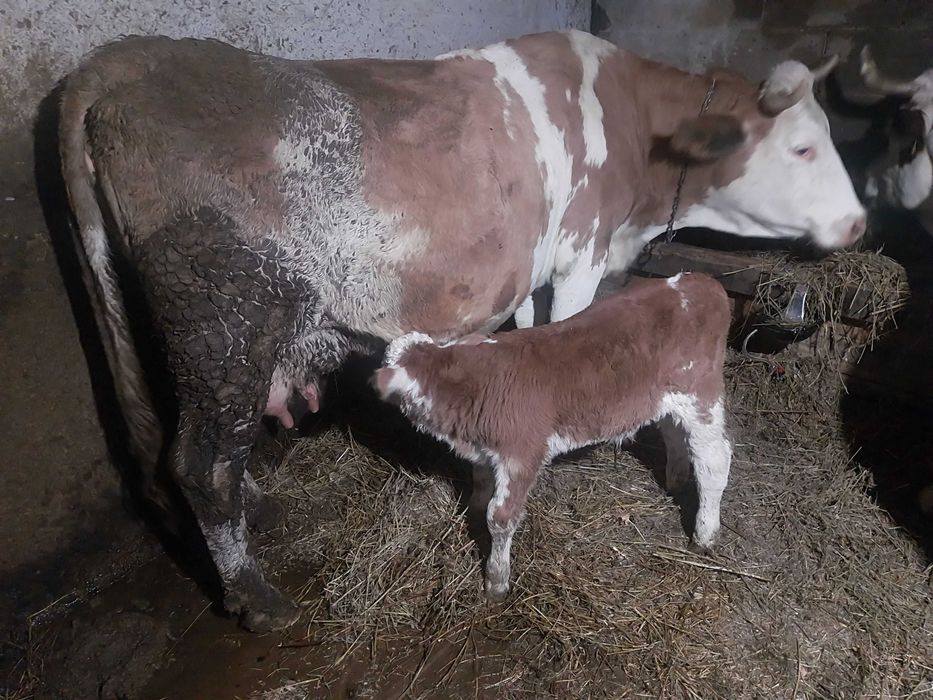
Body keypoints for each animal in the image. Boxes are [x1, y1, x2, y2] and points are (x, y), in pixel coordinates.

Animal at [373, 272, 732, 600]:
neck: (471, 383)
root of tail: (701, 281)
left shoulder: (522, 453)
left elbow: (500, 518)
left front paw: (496, 581)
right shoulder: (486, 452)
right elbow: (480, 482)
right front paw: (473, 511)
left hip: (701, 393)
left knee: (714, 460)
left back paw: (704, 535)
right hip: (666, 399)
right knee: (674, 435)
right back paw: (675, 480)